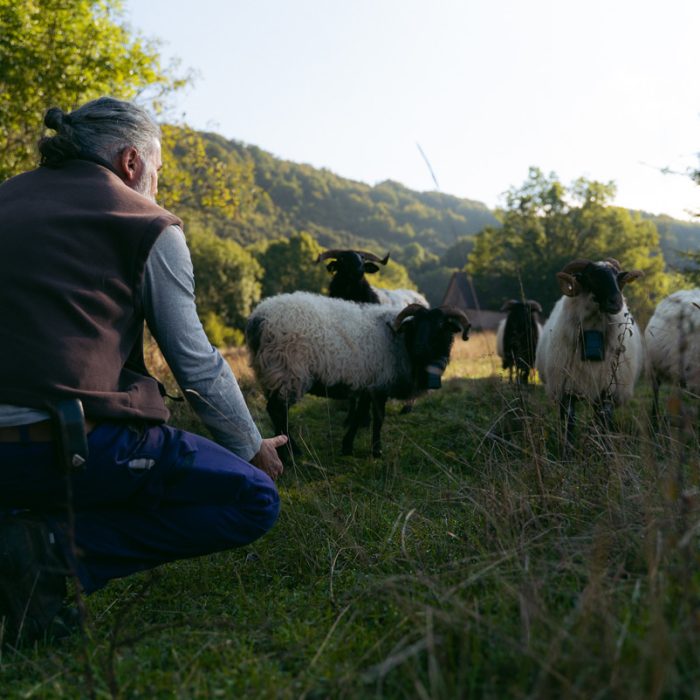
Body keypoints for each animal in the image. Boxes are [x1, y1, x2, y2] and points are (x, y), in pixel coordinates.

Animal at [246, 292, 470, 456]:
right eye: (415, 325)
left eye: (441, 327)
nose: (420, 348)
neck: (399, 342)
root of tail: (258, 318)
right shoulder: (379, 384)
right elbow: (378, 418)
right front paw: (376, 450)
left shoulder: (368, 385)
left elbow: (360, 415)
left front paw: (347, 446)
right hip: (287, 371)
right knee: (278, 411)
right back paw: (292, 452)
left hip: (271, 373)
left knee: (274, 411)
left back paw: (285, 451)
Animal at [536, 258, 644, 442]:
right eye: (591, 277)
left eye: (617, 277)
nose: (616, 302)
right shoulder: (566, 390)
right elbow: (568, 425)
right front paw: (566, 449)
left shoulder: (607, 392)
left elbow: (604, 425)